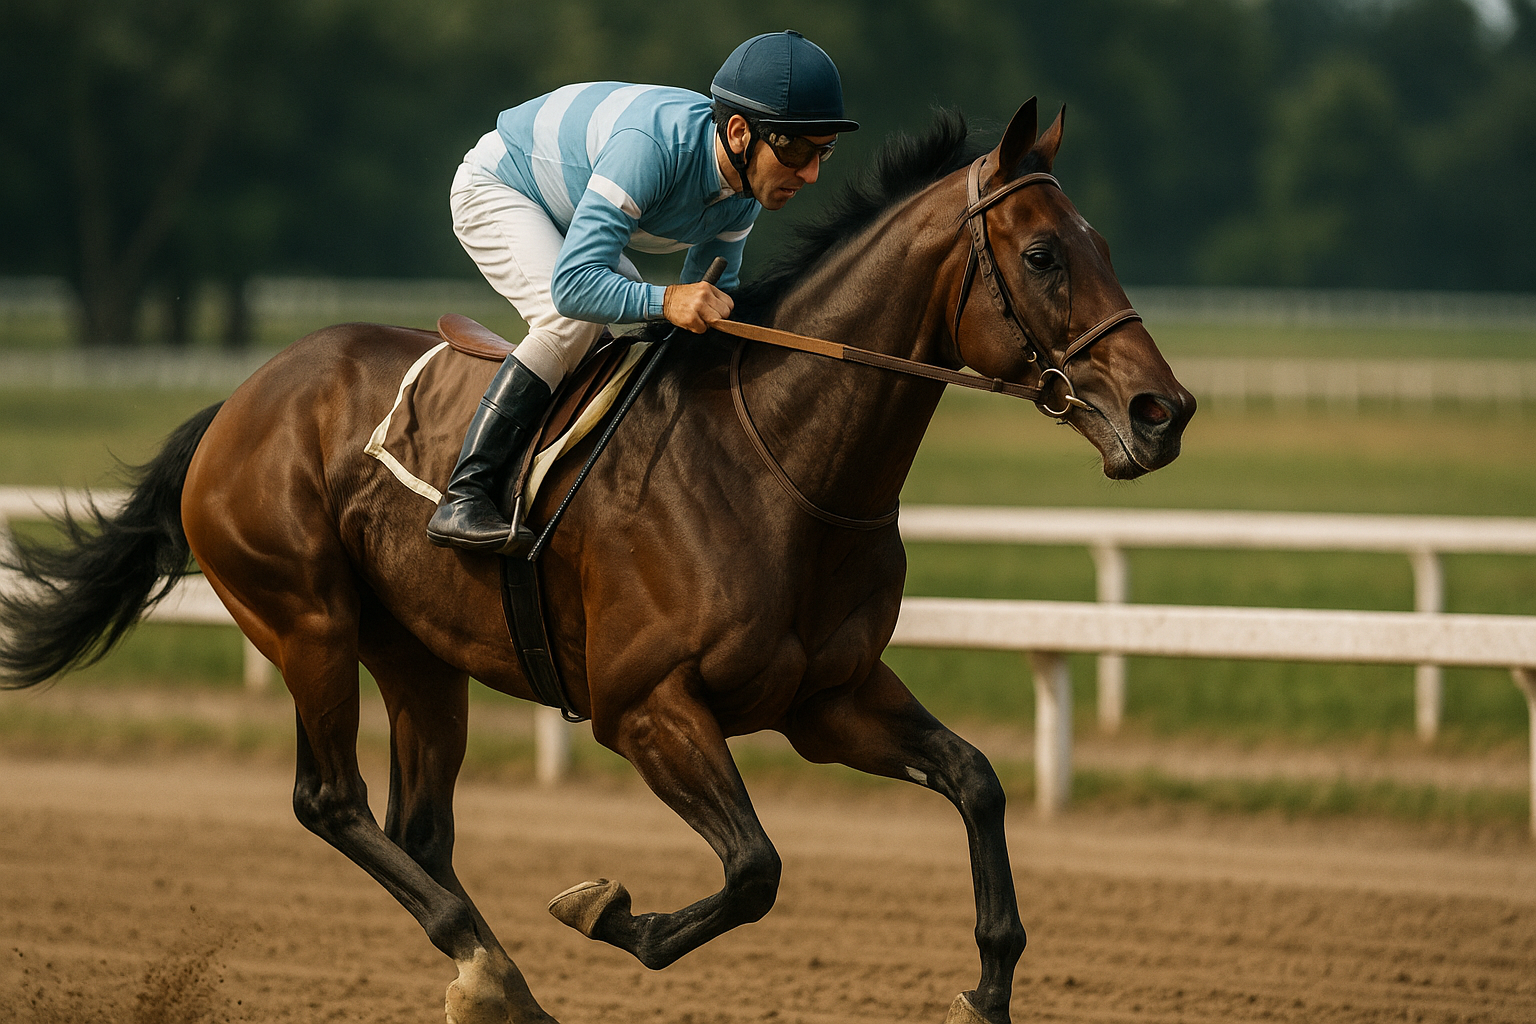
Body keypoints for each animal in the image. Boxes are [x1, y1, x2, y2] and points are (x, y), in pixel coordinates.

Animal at [0, 100, 1193, 1024]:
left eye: (1102, 246)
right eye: (1043, 255)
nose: (1163, 410)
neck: (781, 459)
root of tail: (241, 399)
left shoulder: (829, 698)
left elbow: (977, 780)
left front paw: (986, 988)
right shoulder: (645, 705)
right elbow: (754, 869)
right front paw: (608, 911)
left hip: (418, 653)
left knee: (417, 826)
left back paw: (489, 971)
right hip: (306, 621)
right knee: (329, 800)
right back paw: (490, 971)